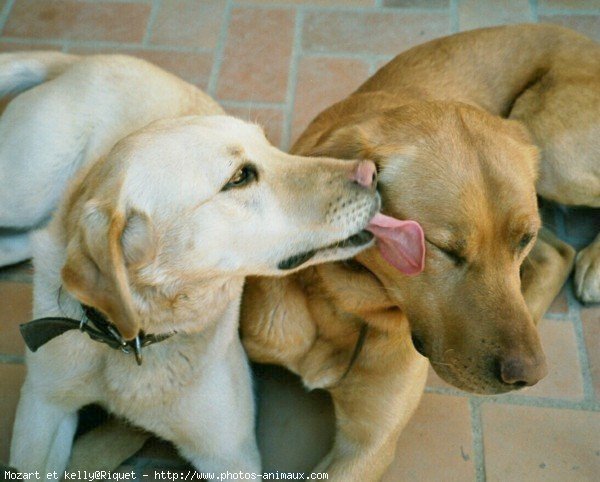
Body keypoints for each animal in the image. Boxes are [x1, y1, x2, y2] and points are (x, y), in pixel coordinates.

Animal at [9, 114, 394, 478]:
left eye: (269, 145)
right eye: (240, 176)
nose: (371, 173)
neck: (131, 343)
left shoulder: (229, 453)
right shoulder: (41, 407)